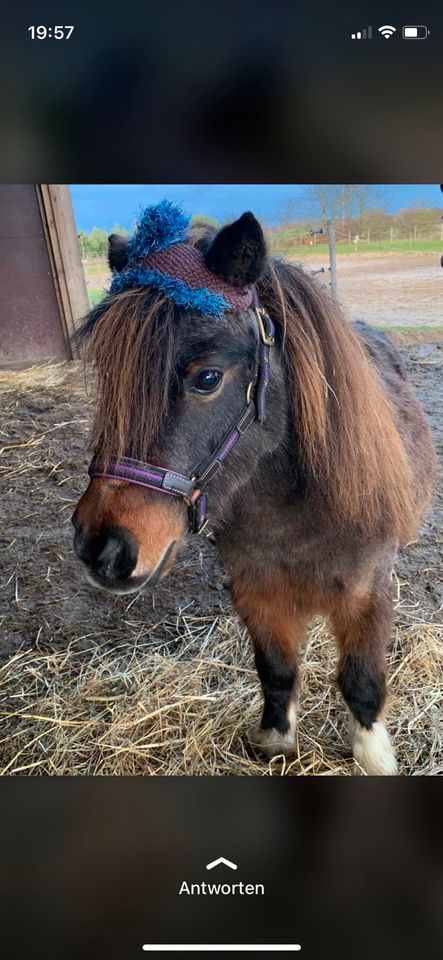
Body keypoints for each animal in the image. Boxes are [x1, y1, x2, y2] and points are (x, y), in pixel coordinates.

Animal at [73, 214, 438, 776]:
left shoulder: (367, 593)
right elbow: (276, 670)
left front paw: (374, 756)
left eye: (207, 378)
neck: (294, 515)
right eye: (110, 376)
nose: (101, 548)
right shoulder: (256, 591)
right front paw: (275, 740)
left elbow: (361, 681)